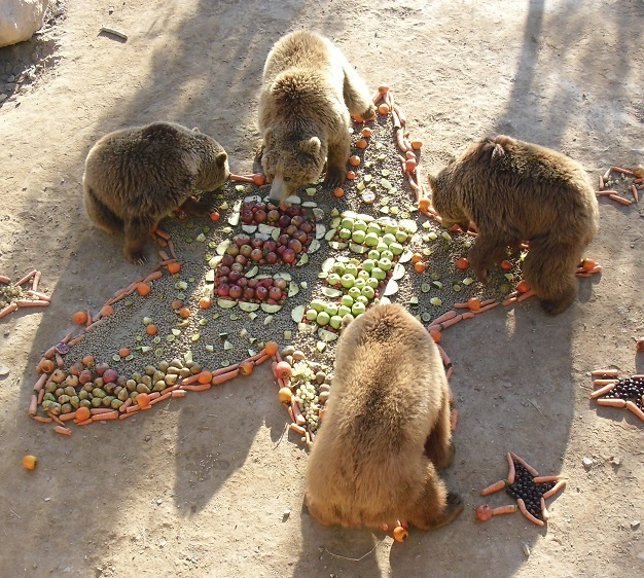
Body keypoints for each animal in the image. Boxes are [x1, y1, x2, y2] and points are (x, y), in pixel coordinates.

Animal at [83, 121, 230, 264]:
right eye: (225, 169)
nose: (228, 177)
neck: (192, 164)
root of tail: (88, 161)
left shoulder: (175, 186)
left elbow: (185, 201)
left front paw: (206, 207)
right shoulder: (154, 187)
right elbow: (140, 225)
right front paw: (136, 255)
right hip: (100, 196)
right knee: (105, 218)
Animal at [256, 30, 375, 206]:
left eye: (288, 176)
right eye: (271, 173)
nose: (274, 200)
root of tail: (305, 32)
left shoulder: (330, 119)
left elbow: (340, 144)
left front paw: (333, 177)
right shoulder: (268, 114)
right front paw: (262, 148)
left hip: (340, 67)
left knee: (355, 97)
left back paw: (369, 110)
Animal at [305, 303, 463, 531]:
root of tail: (353, 505)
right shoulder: (434, 373)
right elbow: (440, 423)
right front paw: (449, 452)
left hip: (321, 479)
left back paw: (309, 504)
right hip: (403, 479)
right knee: (426, 493)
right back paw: (451, 505)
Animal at [428, 135, 599, 315]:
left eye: (439, 210)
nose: (445, 225)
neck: (459, 189)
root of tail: (591, 201)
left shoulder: (487, 200)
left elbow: (493, 236)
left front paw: (483, 273)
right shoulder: (514, 214)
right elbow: (509, 238)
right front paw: (507, 254)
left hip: (559, 227)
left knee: (542, 269)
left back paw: (556, 303)